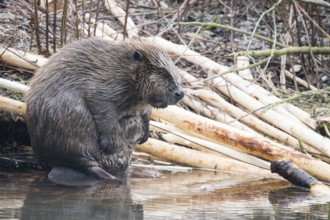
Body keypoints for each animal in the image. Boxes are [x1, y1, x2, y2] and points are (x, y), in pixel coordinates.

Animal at [26, 37, 184, 182]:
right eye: (163, 73)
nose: (180, 93)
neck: (122, 69)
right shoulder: (105, 84)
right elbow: (102, 107)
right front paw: (105, 142)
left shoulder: (142, 102)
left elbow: (146, 114)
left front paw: (144, 136)